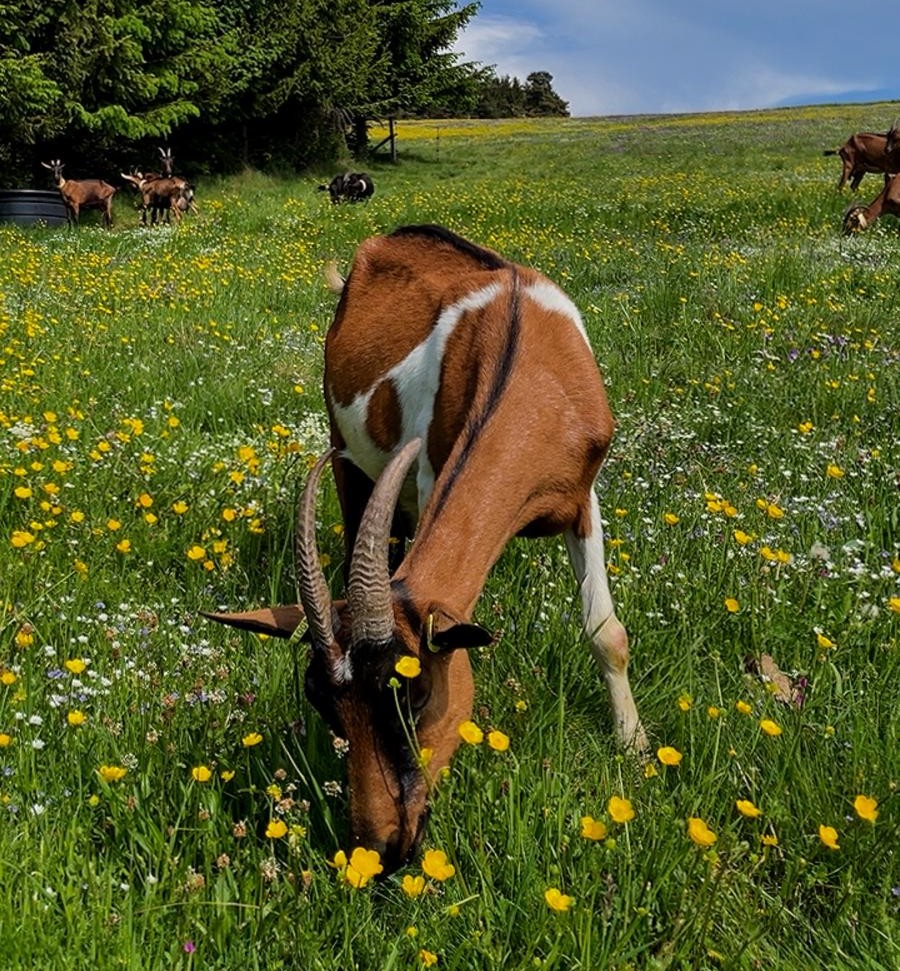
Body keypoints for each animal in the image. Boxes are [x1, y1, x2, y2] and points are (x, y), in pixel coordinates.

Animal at [205, 224, 646, 873]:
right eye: (321, 704)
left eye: (413, 694)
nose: (378, 848)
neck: (529, 363)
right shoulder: (428, 471)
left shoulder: (581, 496)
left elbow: (606, 633)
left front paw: (635, 748)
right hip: (347, 455)